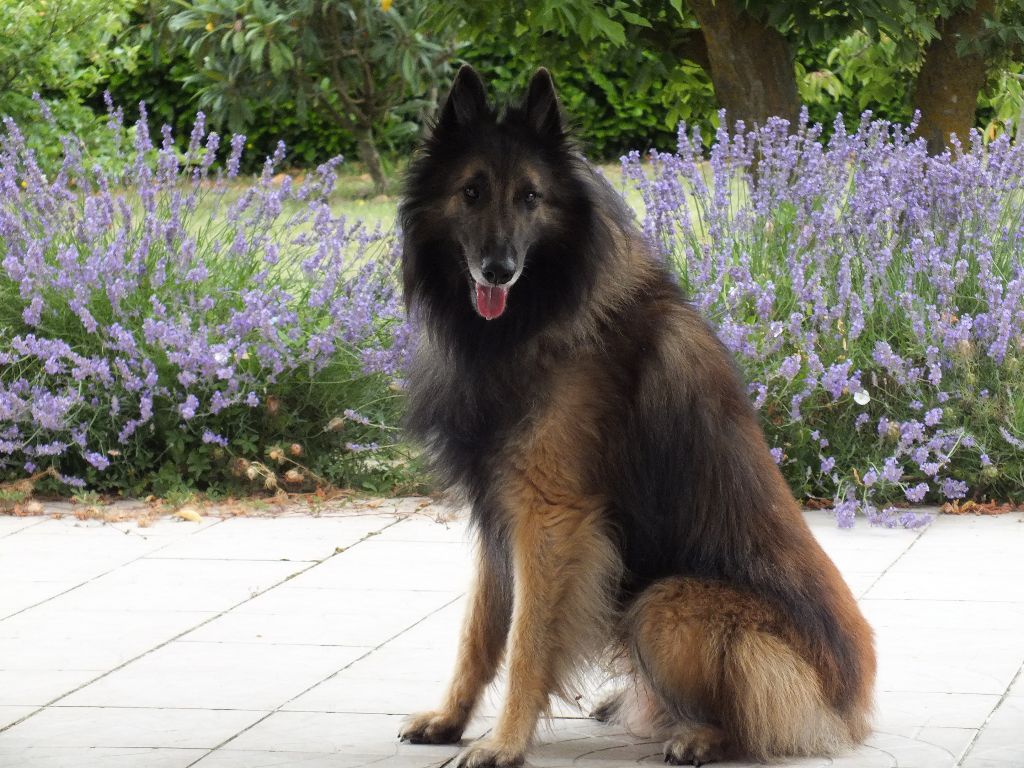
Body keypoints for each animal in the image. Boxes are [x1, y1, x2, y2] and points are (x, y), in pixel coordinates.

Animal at [395, 66, 876, 768]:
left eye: (531, 196)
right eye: (472, 191)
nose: (498, 269)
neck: (536, 315)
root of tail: (848, 703)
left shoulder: (551, 517)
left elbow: (526, 644)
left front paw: (504, 742)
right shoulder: (499, 515)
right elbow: (480, 633)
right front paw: (452, 718)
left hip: (665, 605)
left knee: (753, 719)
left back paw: (697, 735)